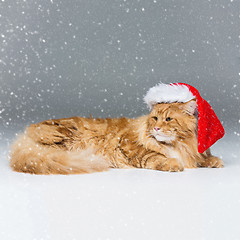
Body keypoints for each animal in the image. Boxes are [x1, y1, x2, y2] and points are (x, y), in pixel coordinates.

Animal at [9, 99, 223, 174]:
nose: (156, 128)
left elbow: (203, 158)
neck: (178, 145)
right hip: (62, 133)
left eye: (169, 119)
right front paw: (172, 163)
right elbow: (154, 156)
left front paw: (213, 161)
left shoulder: (193, 151)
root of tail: (24, 141)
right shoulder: (129, 146)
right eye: (155, 118)